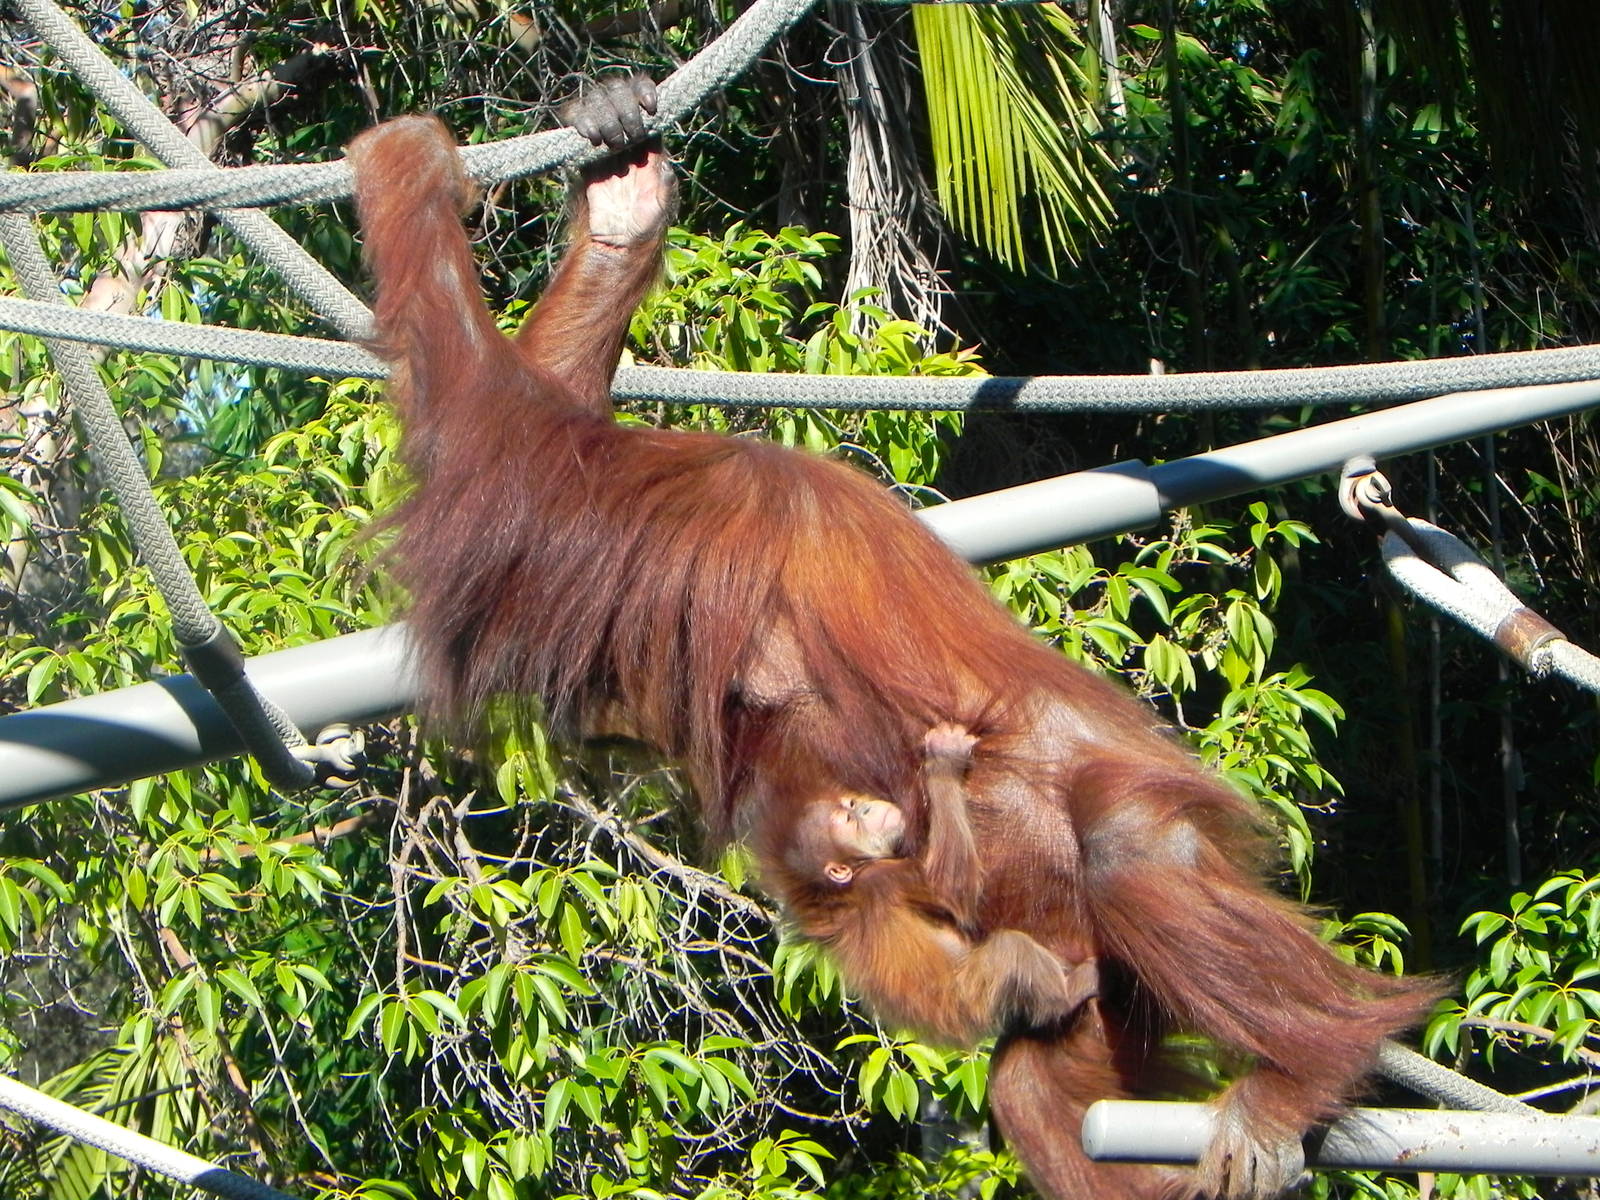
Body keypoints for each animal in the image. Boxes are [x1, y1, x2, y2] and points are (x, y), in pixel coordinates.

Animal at [347, 74, 1439, 1200]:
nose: (609, 718)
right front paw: (620, 196)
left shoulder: (659, 524)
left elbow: (514, 441)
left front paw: (412, 169)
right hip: (1099, 996)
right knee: (1036, 1077)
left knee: (1127, 846)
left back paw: (1307, 1062)